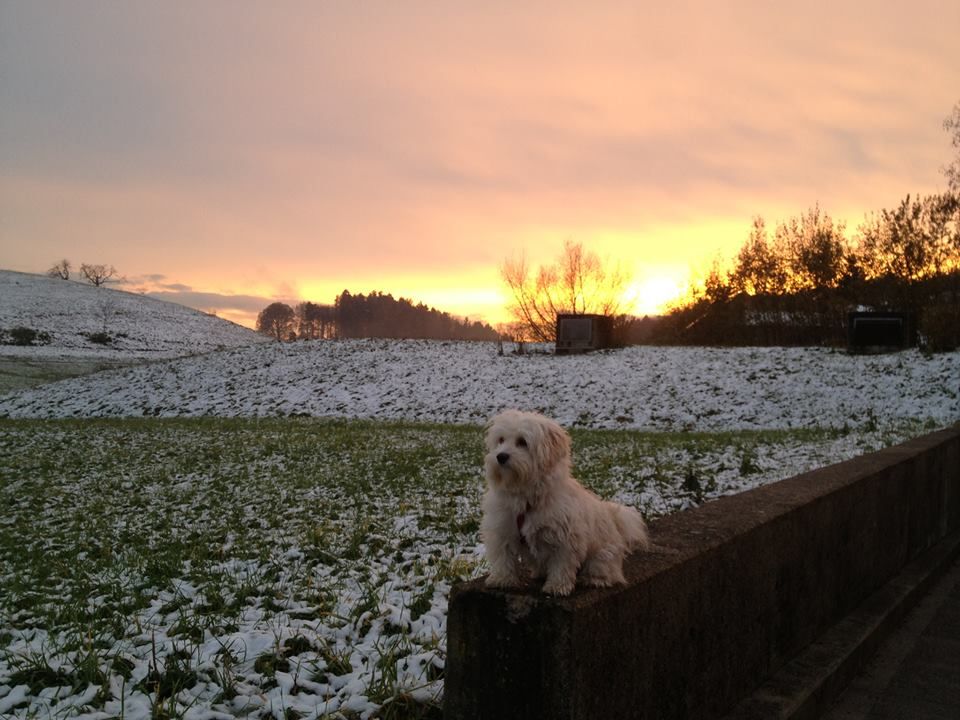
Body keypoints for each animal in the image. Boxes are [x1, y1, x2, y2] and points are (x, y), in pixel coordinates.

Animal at [484, 410, 648, 596]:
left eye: (522, 442)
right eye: (501, 440)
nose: (501, 456)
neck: (526, 498)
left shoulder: (565, 539)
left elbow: (561, 565)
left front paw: (557, 586)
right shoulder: (502, 529)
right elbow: (503, 558)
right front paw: (501, 579)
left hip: (602, 555)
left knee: (604, 570)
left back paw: (594, 579)